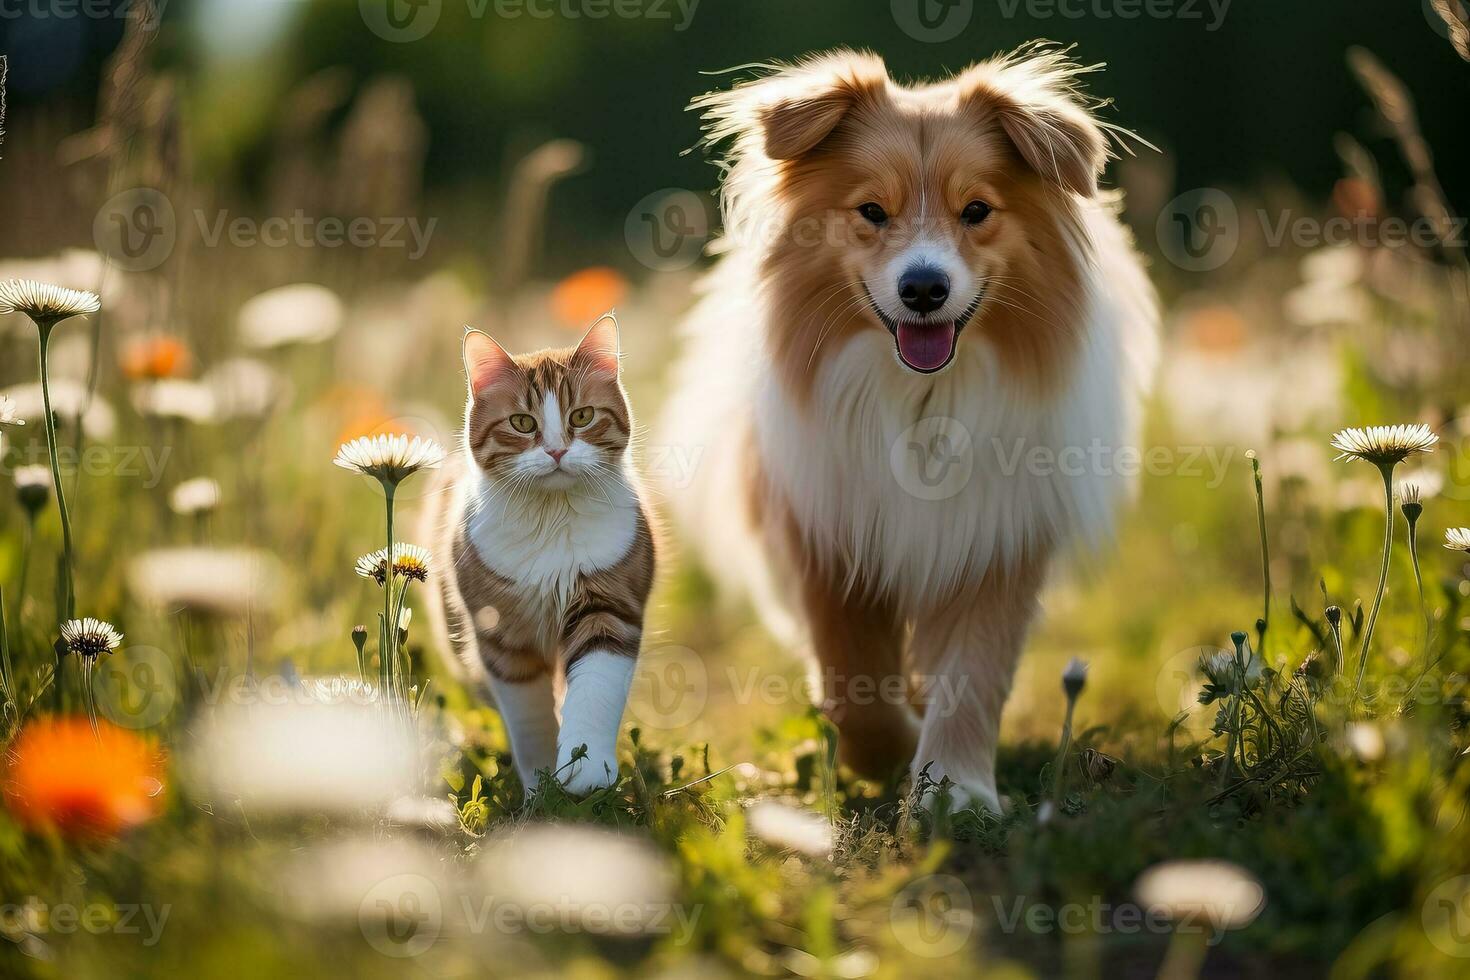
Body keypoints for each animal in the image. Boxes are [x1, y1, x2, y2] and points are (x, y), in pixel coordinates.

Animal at [426, 315, 655, 799]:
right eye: (522, 422)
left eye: (582, 416)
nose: (556, 450)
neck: (553, 518)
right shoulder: (502, 636)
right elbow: (529, 718)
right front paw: (542, 783)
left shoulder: (608, 609)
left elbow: (593, 693)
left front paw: (586, 772)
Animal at [664, 45, 1158, 811]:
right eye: (871, 211)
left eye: (977, 211)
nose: (924, 287)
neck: (922, 396)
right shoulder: (827, 538)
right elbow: (851, 686)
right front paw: (892, 751)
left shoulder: (996, 536)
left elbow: (973, 676)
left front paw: (953, 789)